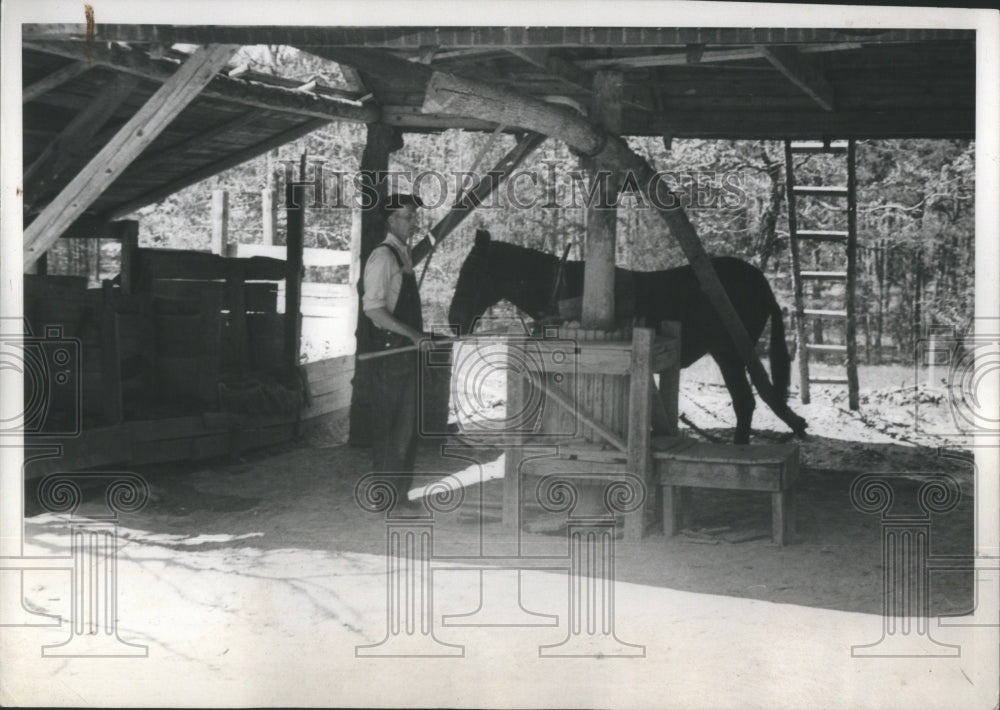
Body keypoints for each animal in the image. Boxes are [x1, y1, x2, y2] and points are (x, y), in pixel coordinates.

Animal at [450, 229, 800, 444]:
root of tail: (762, 282)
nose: (453, 321)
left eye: (470, 273)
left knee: (745, 402)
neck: (561, 288)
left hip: (730, 352)